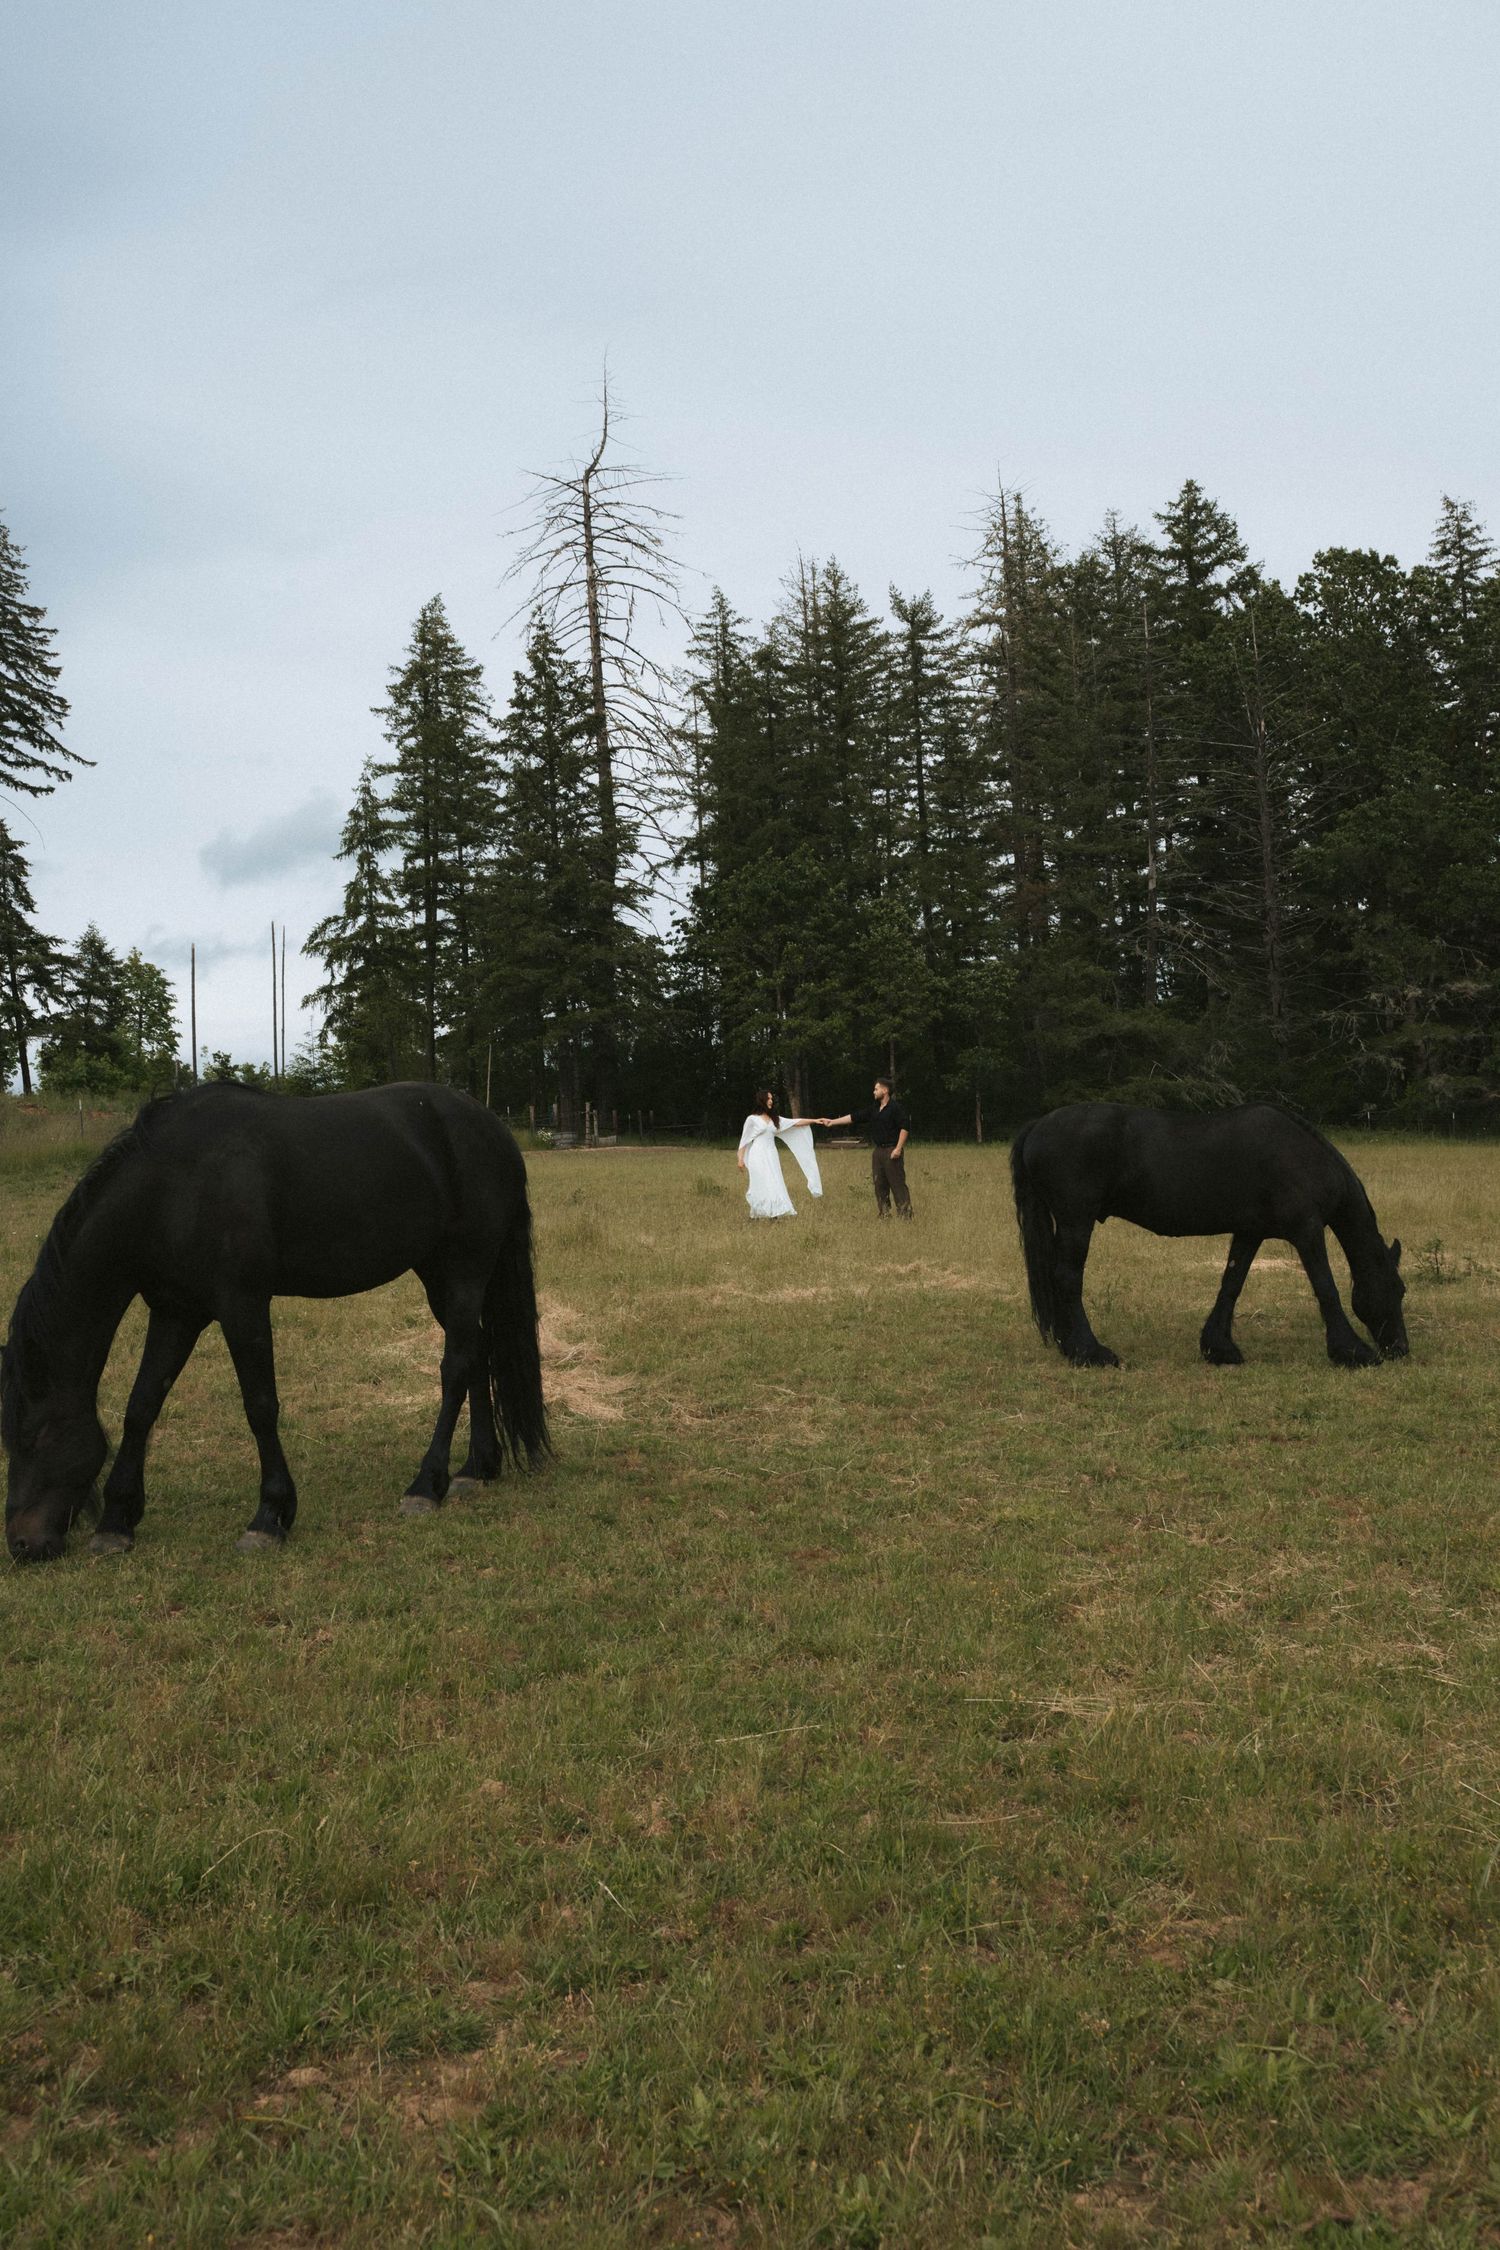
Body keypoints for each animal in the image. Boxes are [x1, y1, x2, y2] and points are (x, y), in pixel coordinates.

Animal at [2, 1082, 548, 1563]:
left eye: (31, 1438)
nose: (23, 1545)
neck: (173, 1187)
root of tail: (494, 1128)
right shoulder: (177, 1311)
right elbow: (141, 1407)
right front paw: (117, 1522)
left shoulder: (242, 1304)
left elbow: (260, 1406)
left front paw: (269, 1517)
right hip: (438, 1273)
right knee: (477, 1354)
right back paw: (477, 1468)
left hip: (465, 1268)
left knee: (455, 1367)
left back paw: (426, 1486)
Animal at [1010, 1102, 1407, 1370]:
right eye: (1399, 1288)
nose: (1401, 1348)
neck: (1300, 1156)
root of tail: (1039, 1123)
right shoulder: (1306, 1229)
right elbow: (1326, 1287)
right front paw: (1352, 1351)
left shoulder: (1249, 1233)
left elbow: (1231, 1284)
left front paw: (1220, 1348)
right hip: (1076, 1220)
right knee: (1067, 1279)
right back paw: (1090, 1352)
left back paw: (1070, 1347)